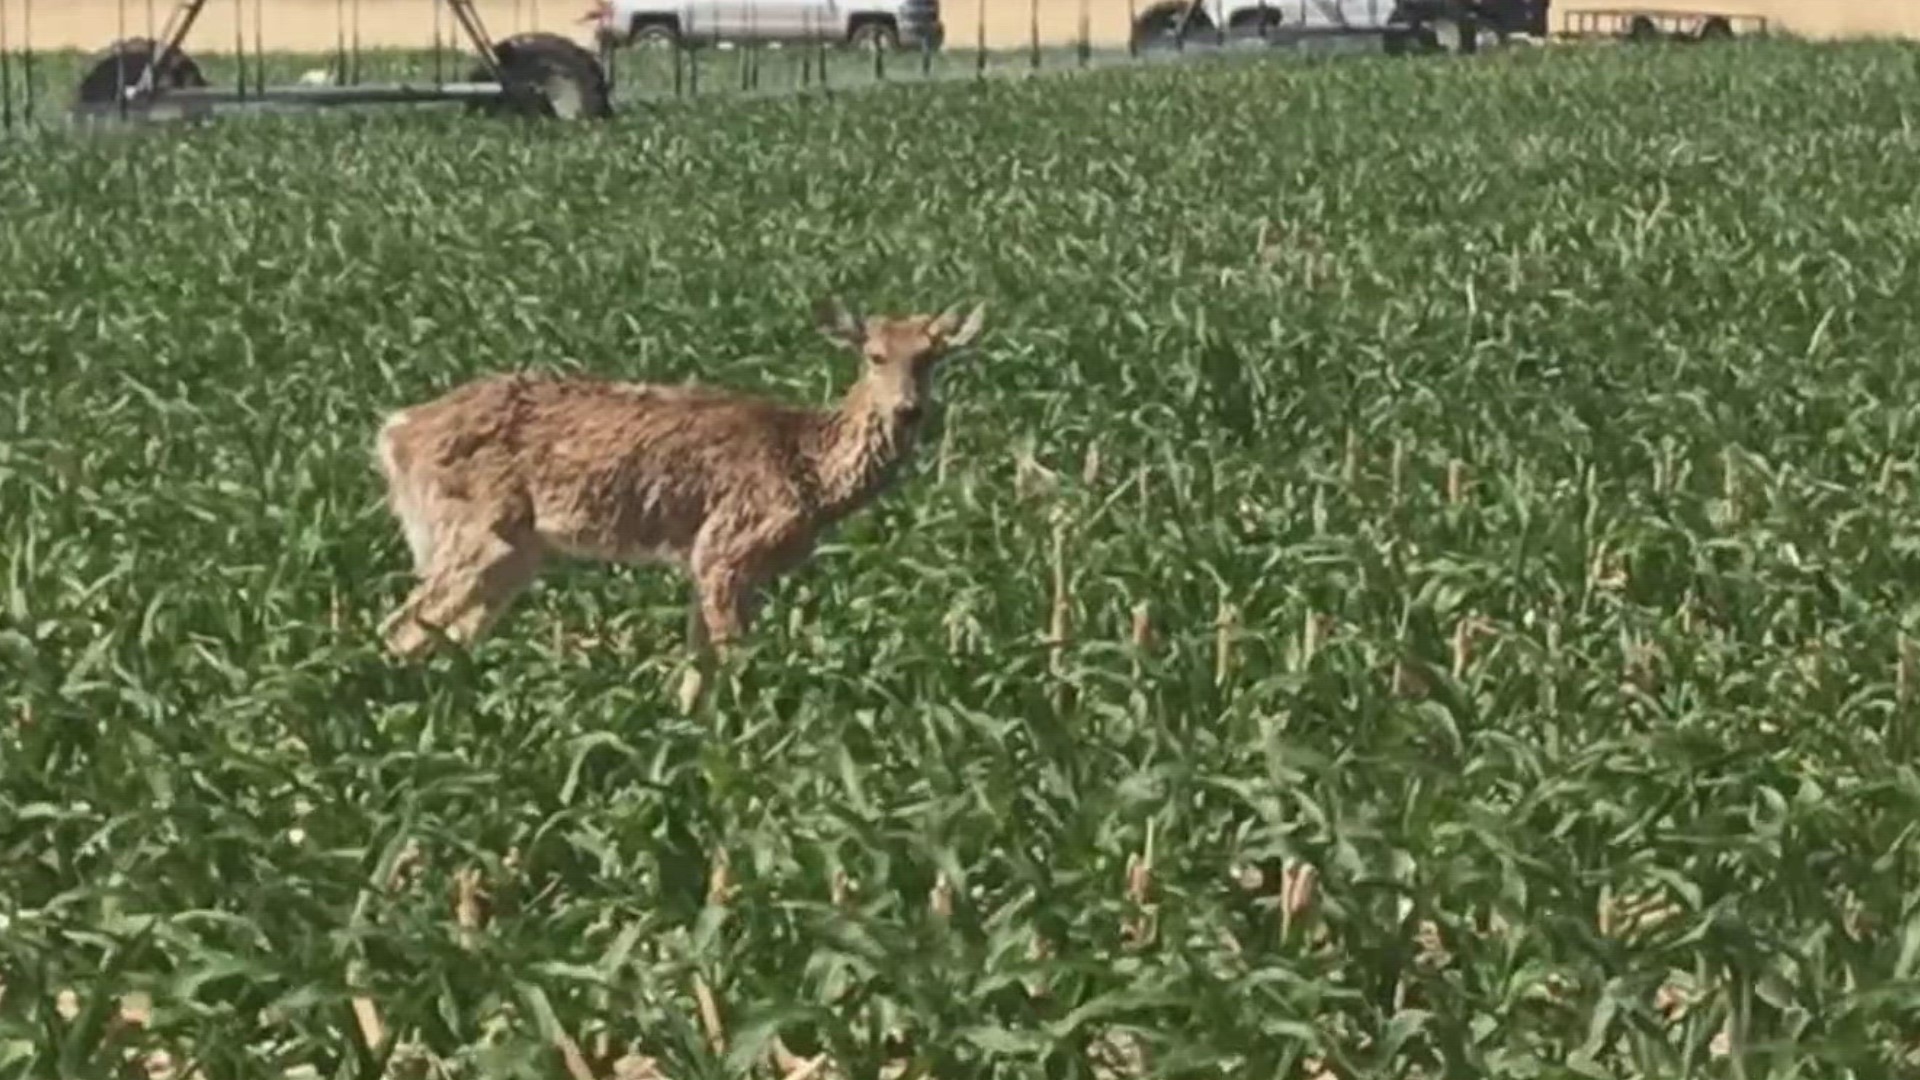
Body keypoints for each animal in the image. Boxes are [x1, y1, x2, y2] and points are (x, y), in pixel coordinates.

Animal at [370, 297, 990, 661]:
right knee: (399, 628)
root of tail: (394, 432)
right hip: (472, 530)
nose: (907, 410)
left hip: (514, 553)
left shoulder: (712, 561)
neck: (808, 468)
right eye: (874, 355)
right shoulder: (726, 546)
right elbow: (734, 664)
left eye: (931, 356)